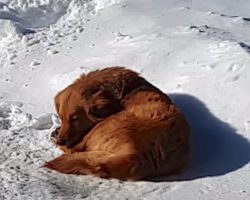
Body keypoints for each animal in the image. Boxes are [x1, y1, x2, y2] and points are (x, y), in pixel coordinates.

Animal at [44, 66, 190, 180]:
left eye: (74, 118)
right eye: (61, 117)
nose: (61, 140)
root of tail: (135, 156)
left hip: (104, 125)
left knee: (74, 149)